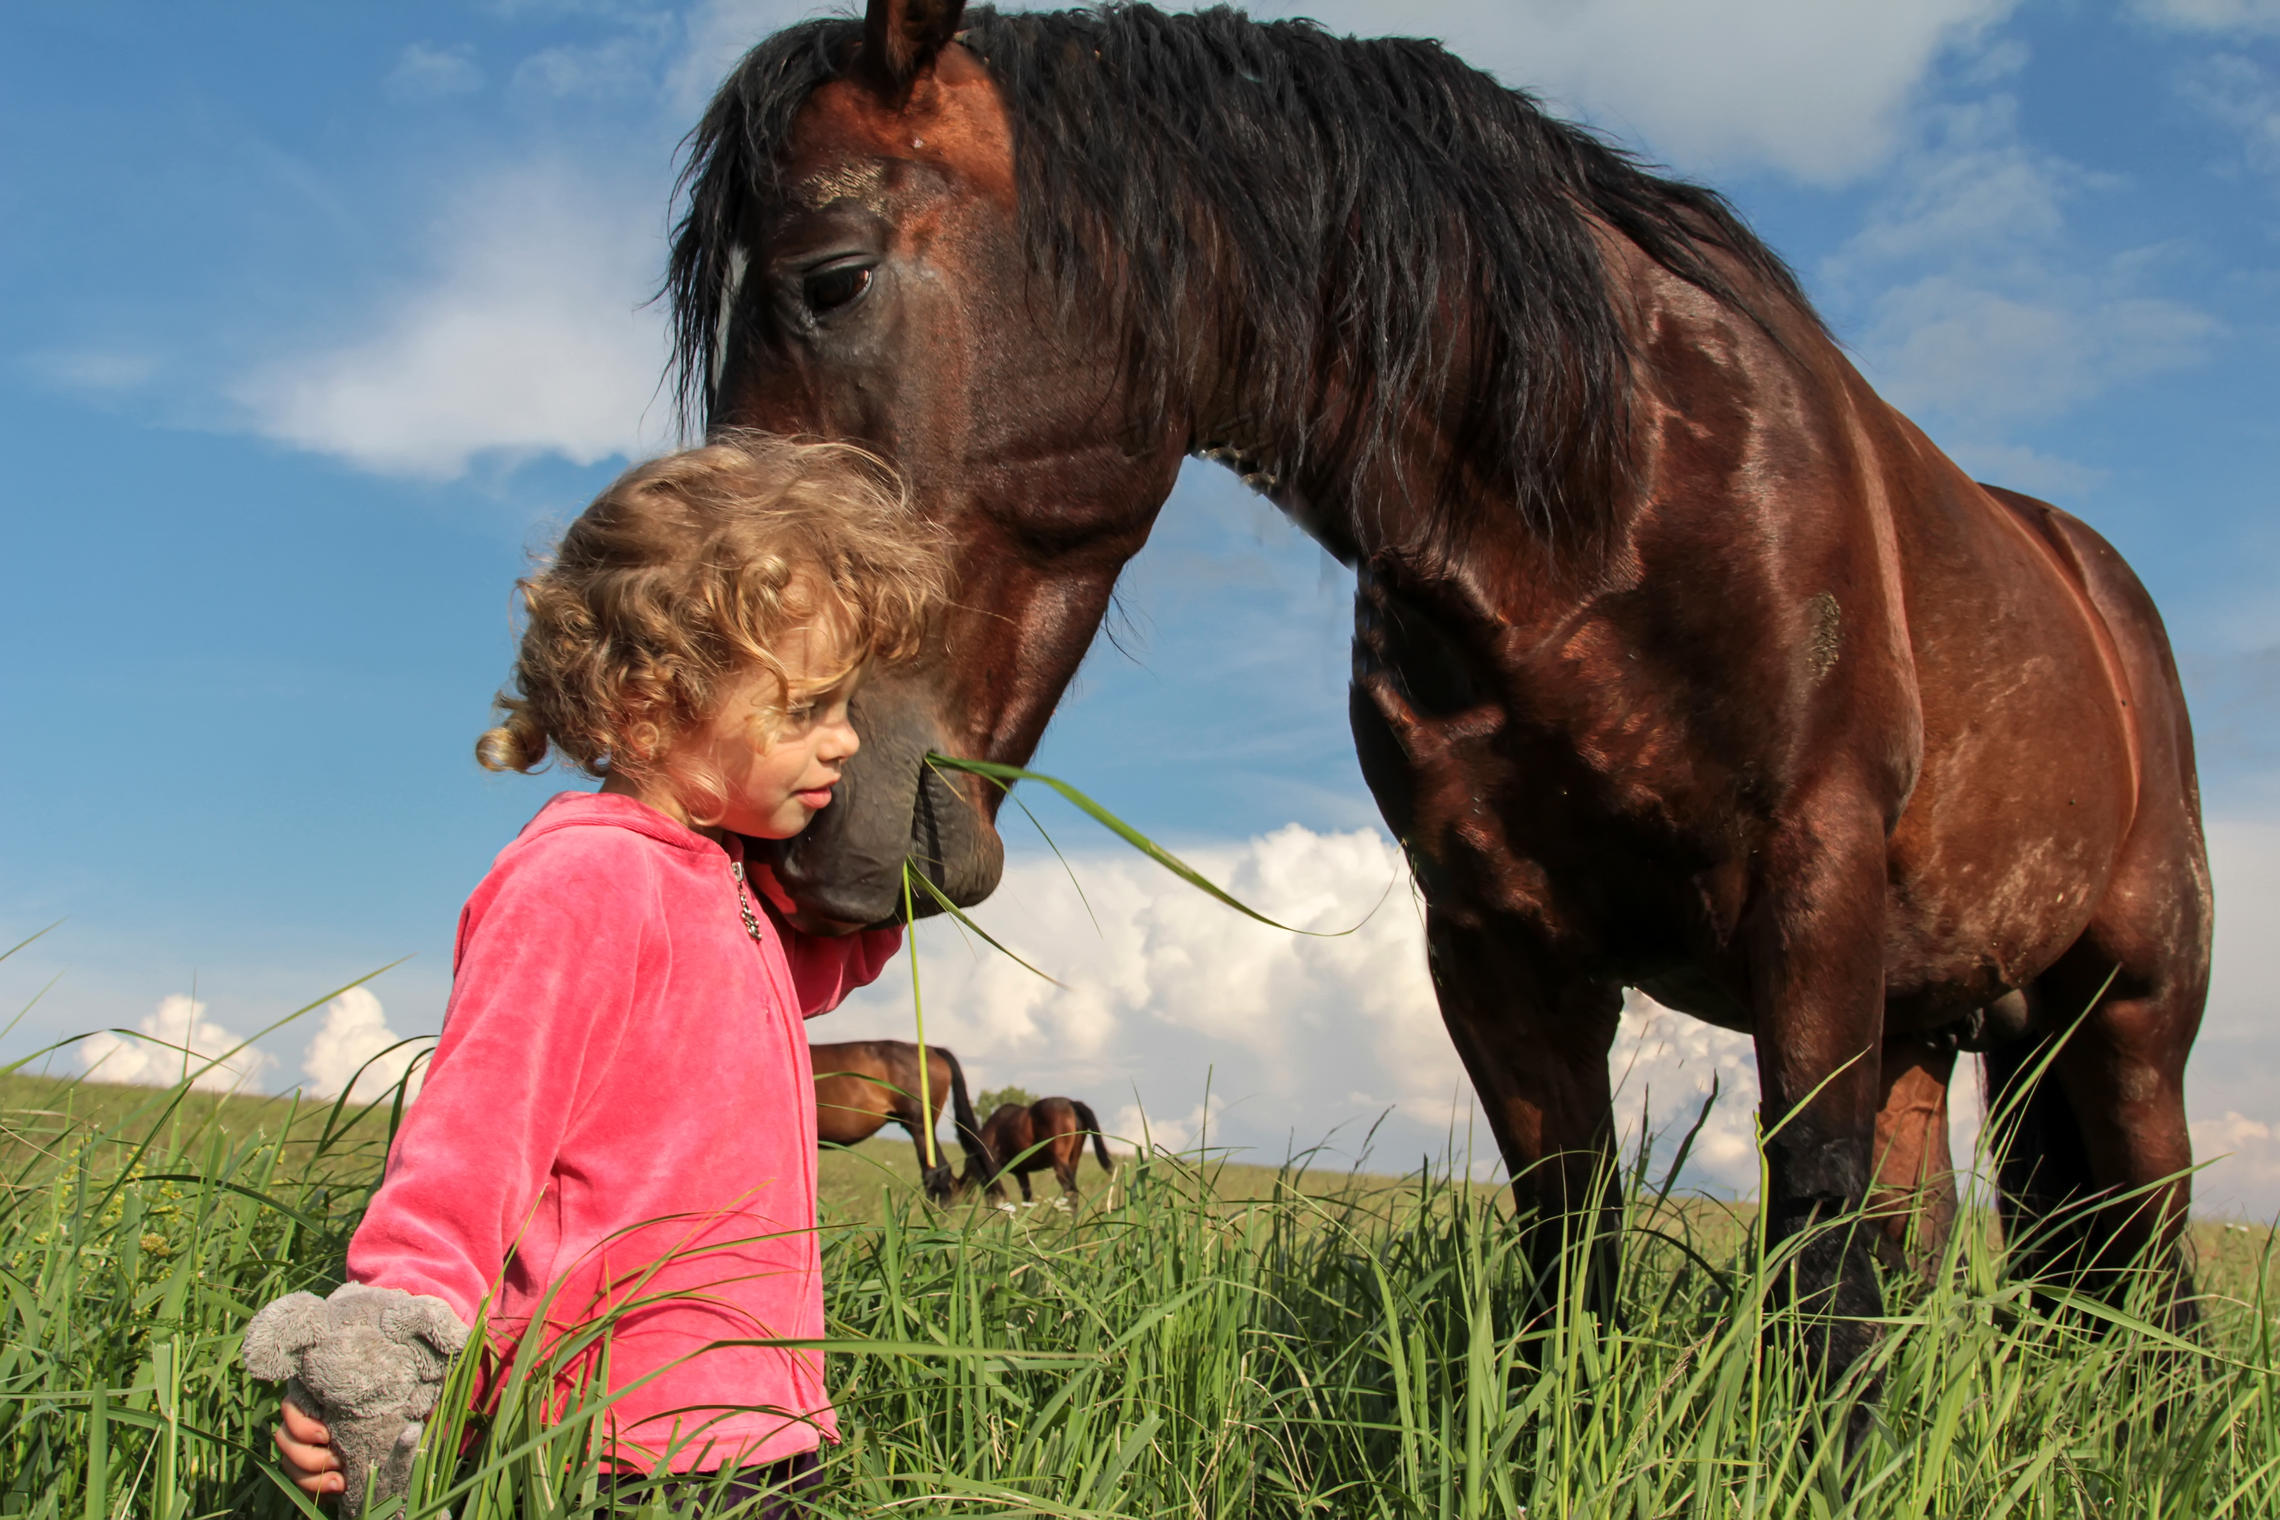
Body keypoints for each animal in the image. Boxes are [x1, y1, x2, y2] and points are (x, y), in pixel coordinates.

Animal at [962, 1098, 1112, 1203]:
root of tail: (1072, 1103)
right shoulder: (1021, 1172)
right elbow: (1027, 1198)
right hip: (1074, 1160)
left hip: (1060, 1164)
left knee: (1071, 1193)